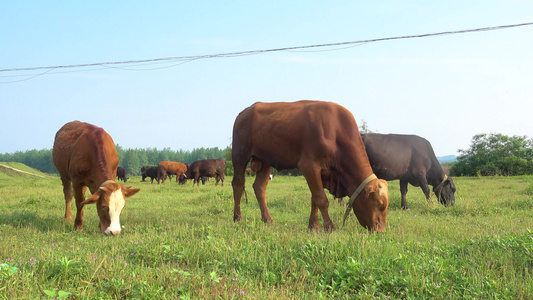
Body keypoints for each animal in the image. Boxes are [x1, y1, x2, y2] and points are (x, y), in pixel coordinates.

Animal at [231, 100, 388, 232]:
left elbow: (315, 200)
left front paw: (313, 226)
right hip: (239, 155)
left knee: (259, 187)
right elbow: (322, 200)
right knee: (238, 185)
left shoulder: (321, 173)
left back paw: (268, 220)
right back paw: (237, 218)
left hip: (265, 160)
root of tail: (246, 111)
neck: (335, 131)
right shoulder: (309, 166)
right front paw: (329, 227)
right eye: (379, 203)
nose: (380, 231)